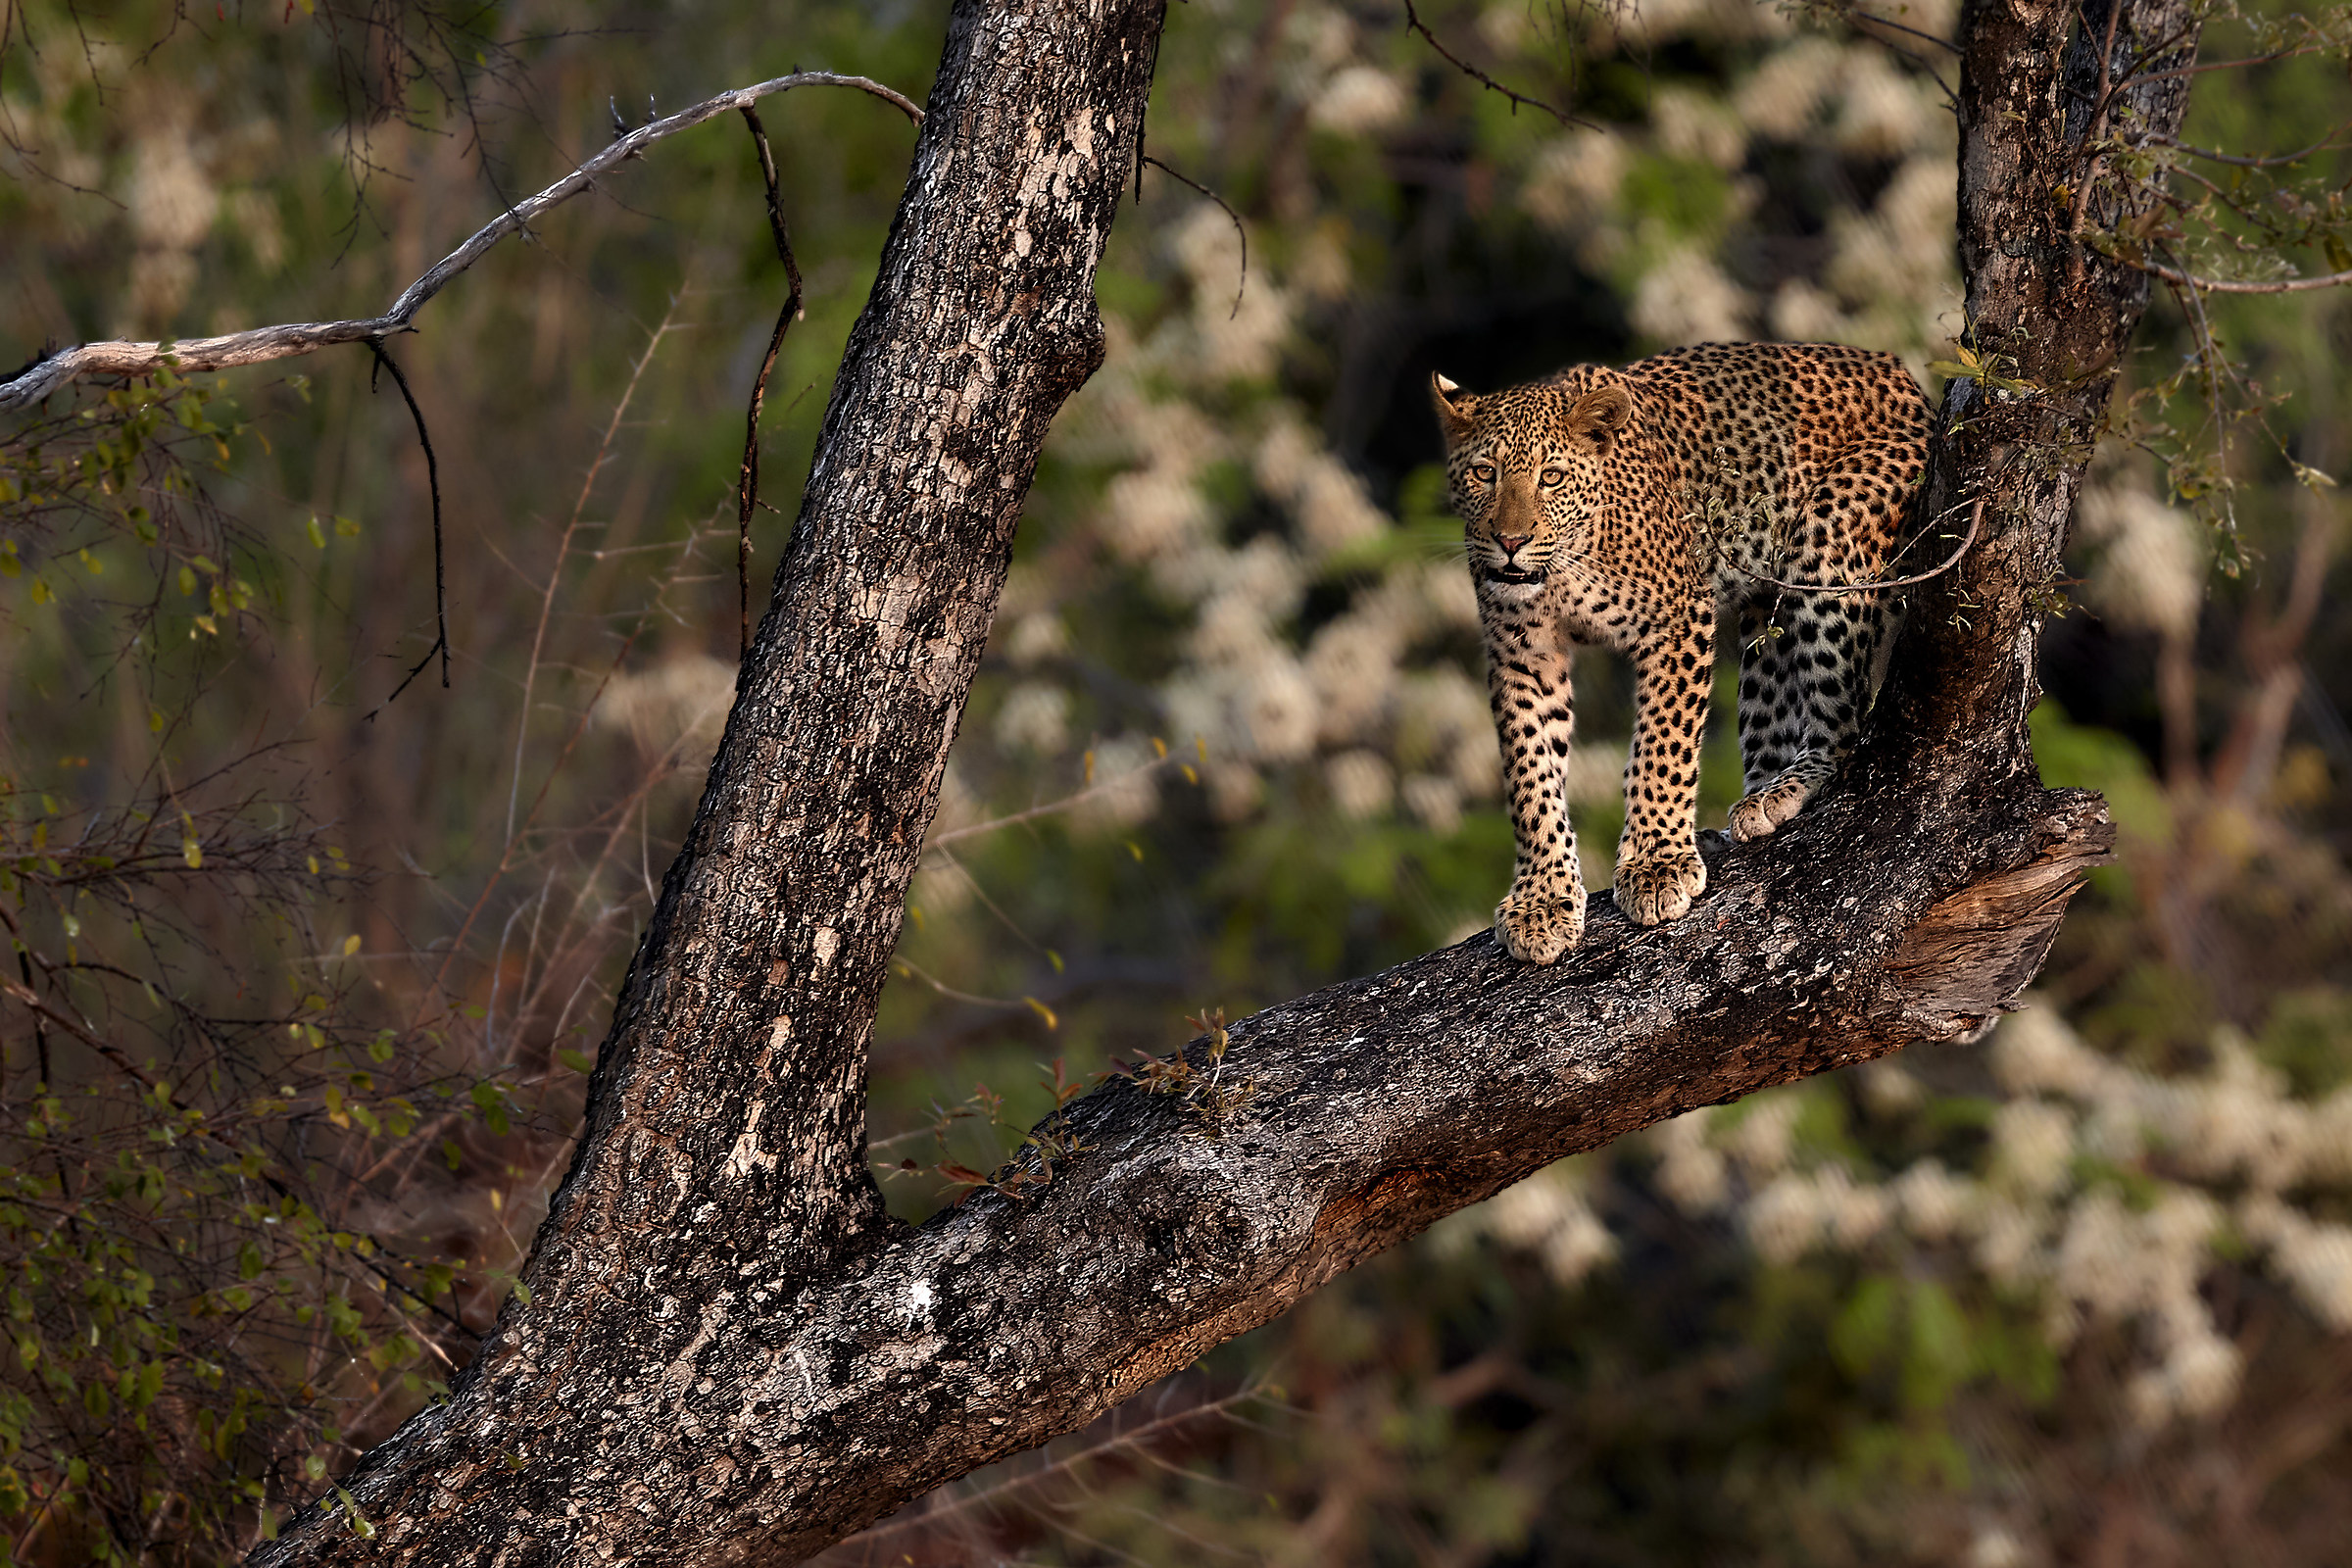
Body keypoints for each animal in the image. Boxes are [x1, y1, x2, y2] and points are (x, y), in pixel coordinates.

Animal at [1431, 340, 1932, 965]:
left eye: (1551, 477)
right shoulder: (1522, 654)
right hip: (1762, 620)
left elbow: (1663, 748)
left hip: (1830, 536)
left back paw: (1784, 792)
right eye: (1485, 473)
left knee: (1842, 726)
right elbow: (1531, 772)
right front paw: (1542, 899)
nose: (1510, 541)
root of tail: (1908, 381)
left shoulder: (1677, 618)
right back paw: (1740, 818)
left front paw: (1655, 866)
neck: (1565, 568)